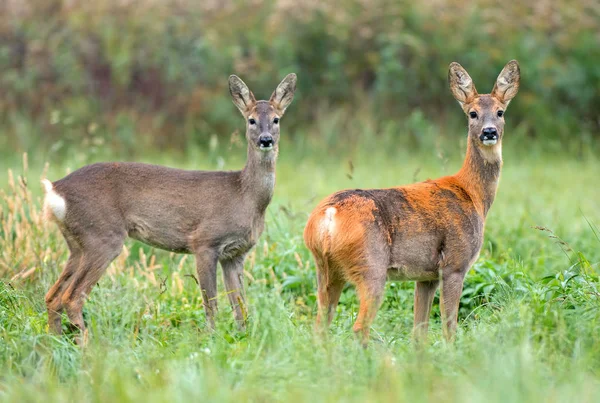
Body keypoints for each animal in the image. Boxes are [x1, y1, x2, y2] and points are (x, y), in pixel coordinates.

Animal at [42, 73, 298, 344]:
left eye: (276, 119)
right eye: (251, 120)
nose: (266, 140)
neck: (245, 196)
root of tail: (55, 190)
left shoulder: (235, 254)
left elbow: (240, 306)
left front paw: (242, 339)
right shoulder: (204, 242)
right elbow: (211, 303)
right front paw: (211, 340)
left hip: (77, 243)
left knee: (53, 296)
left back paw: (53, 342)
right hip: (102, 236)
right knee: (72, 297)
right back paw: (87, 346)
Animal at [308, 60, 516, 348]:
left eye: (500, 112)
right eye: (472, 113)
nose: (489, 131)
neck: (472, 194)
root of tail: (328, 215)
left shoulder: (425, 276)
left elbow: (419, 331)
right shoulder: (455, 263)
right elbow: (449, 327)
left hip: (325, 268)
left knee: (320, 325)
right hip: (371, 266)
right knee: (359, 326)